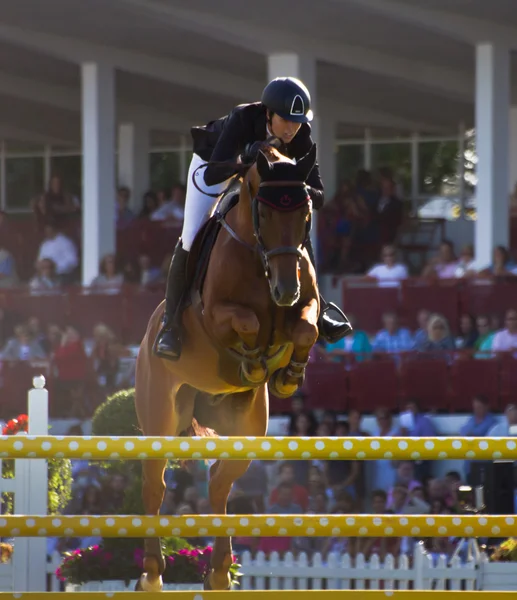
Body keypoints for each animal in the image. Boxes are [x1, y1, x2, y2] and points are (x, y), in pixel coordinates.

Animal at [133, 143, 320, 592]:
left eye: (305, 213)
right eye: (264, 214)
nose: (284, 290)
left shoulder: (307, 304)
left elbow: (305, 327)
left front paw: (288, 375)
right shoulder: (215, 316)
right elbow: (247, 322)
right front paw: (253, 361)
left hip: (247, 426)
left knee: (219, 482)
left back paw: (218, 571)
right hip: (159, 416)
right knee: (154, 487)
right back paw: (152, 573)